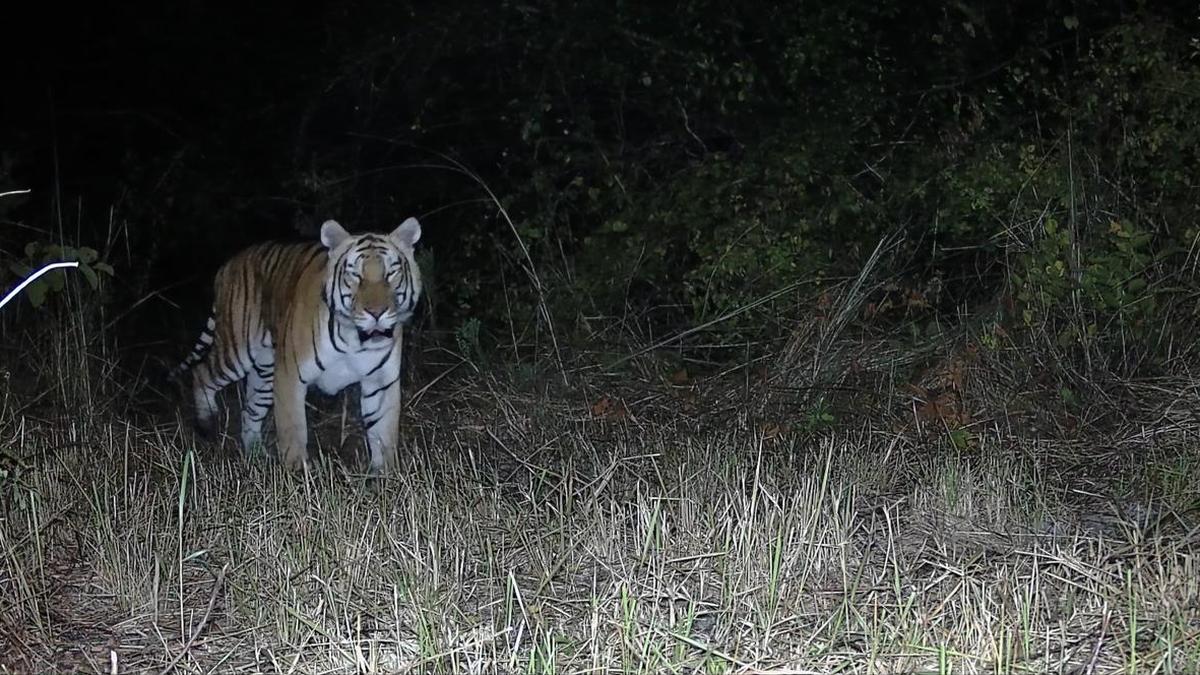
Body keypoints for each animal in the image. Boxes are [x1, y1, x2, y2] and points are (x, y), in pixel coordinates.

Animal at [174, 218, 422, 471]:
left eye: (391, 273)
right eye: (355, 275)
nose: (377, 312)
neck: (355, 338)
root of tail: (228, 264)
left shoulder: (381, 382)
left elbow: (384, 435)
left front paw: (386, 475)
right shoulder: (290, 376)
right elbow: (293, 430)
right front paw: (297, 473)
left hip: (264, 372)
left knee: (250, 410)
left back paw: (256, 455)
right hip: (237, 350)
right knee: (202, 372)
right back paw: (207, 423)